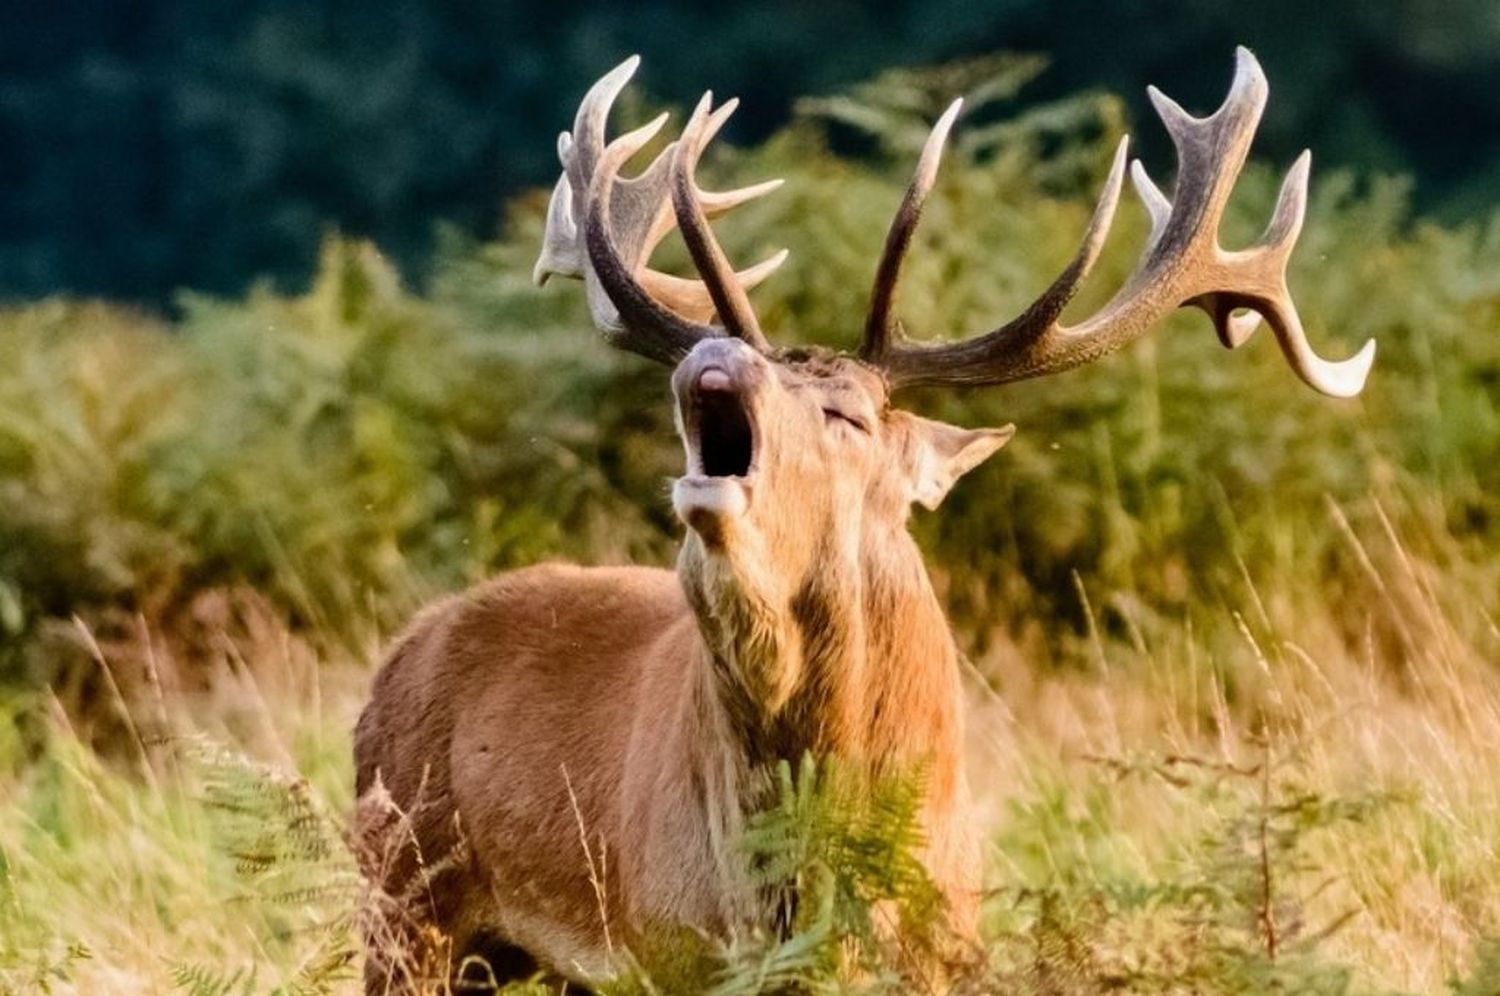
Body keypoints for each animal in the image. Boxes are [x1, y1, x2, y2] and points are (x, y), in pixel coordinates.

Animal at [351, 48, 1374, 996]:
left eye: (845, 414)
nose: (714, 356)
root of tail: (396, 656)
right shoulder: (670, 948)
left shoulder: (950, 947)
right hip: (400, 901)